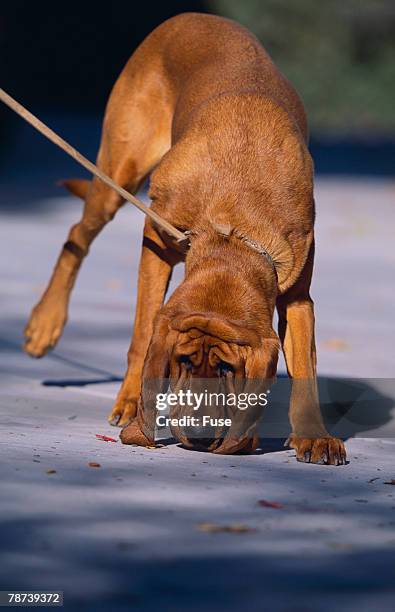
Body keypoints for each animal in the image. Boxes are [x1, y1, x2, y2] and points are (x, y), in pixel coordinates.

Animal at [24, 11, 346, 464]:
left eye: (228, 370)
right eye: (184, 362)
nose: (197, 431)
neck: (234, 235)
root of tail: (192, 16)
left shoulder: (298, 295)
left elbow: (305, 369)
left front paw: (314, 436)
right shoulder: (155, 241)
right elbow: (143, 333)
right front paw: (132, 404)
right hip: (117, 174)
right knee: (77, 235)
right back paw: (44, 326)